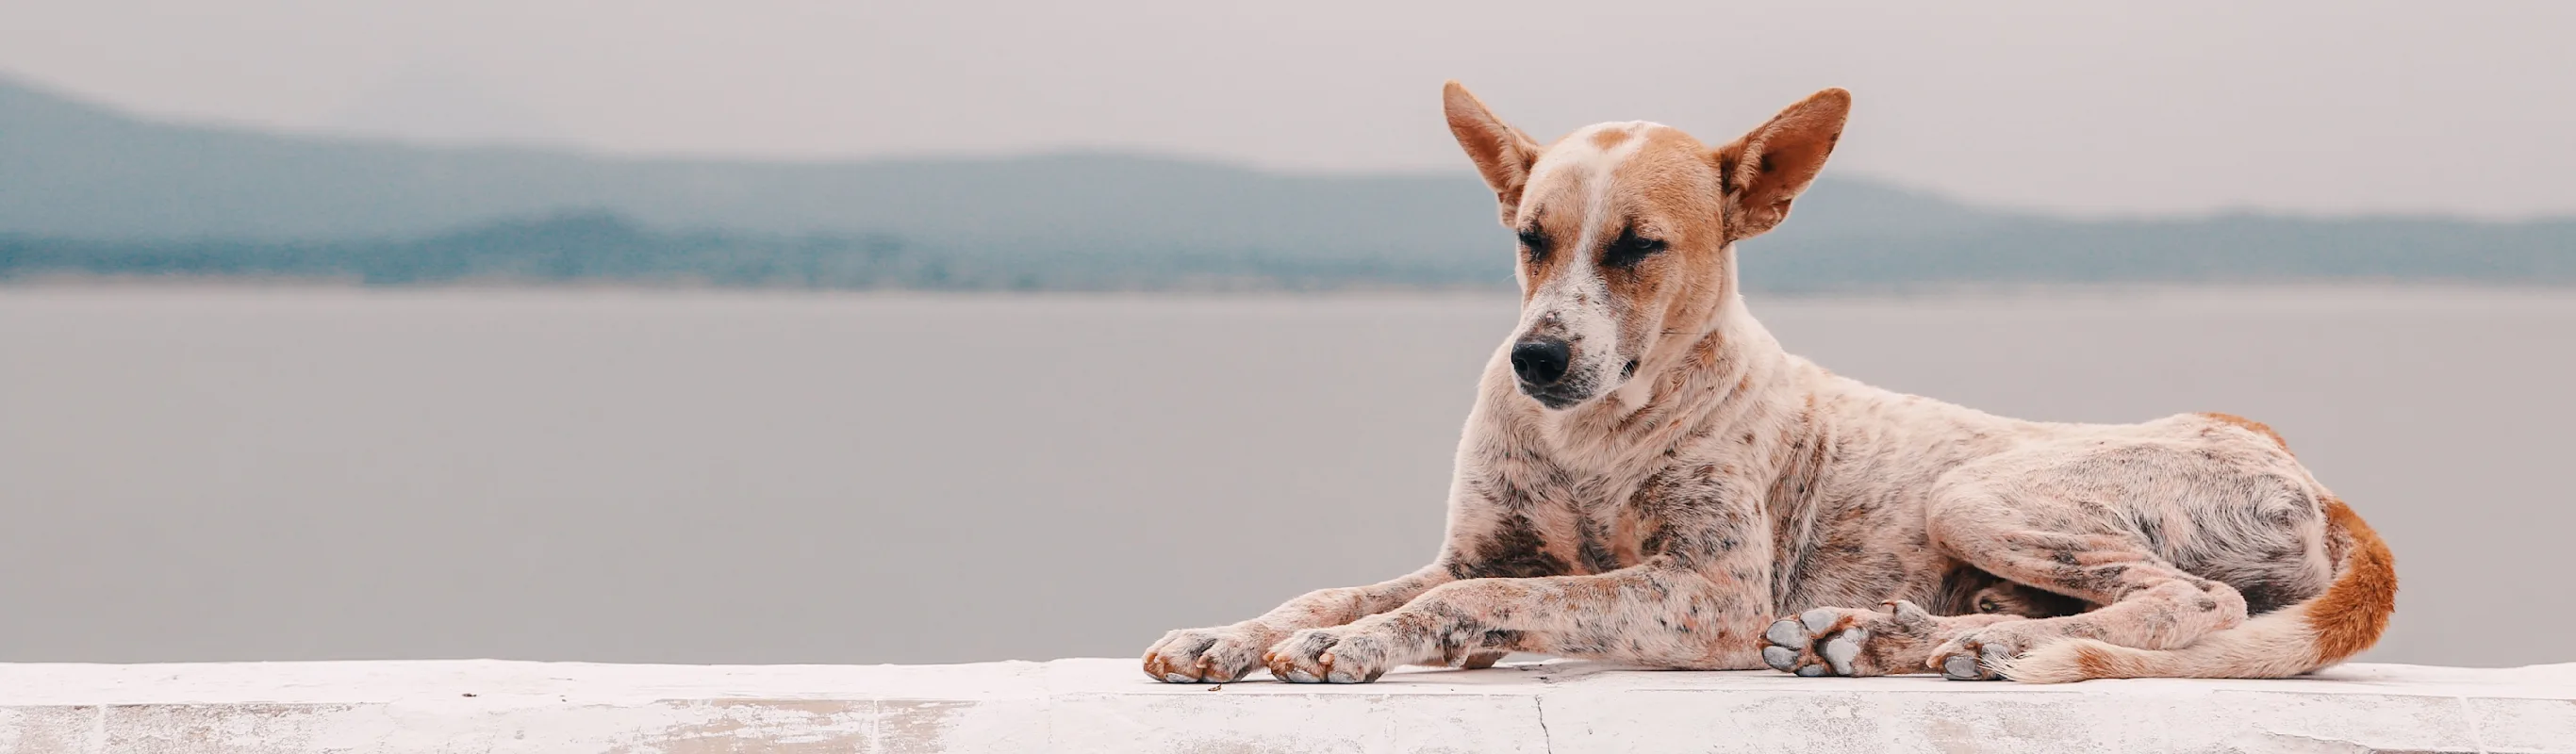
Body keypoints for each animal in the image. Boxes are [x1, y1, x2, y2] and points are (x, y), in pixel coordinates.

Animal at [1144, 82, 2390, 679]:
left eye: (1638, 246)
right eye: (1528, 238)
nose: (1535, 358)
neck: (1596, 433)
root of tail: (2305, 472)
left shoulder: (1705, 589)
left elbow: (1481, 601)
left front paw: (1359, 646)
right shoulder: (1475, 545)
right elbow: (1338, 589)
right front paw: (1234, 634)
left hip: (1981, 492)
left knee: (2191, 602)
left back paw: (1964, 646)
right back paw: (1893, 634)